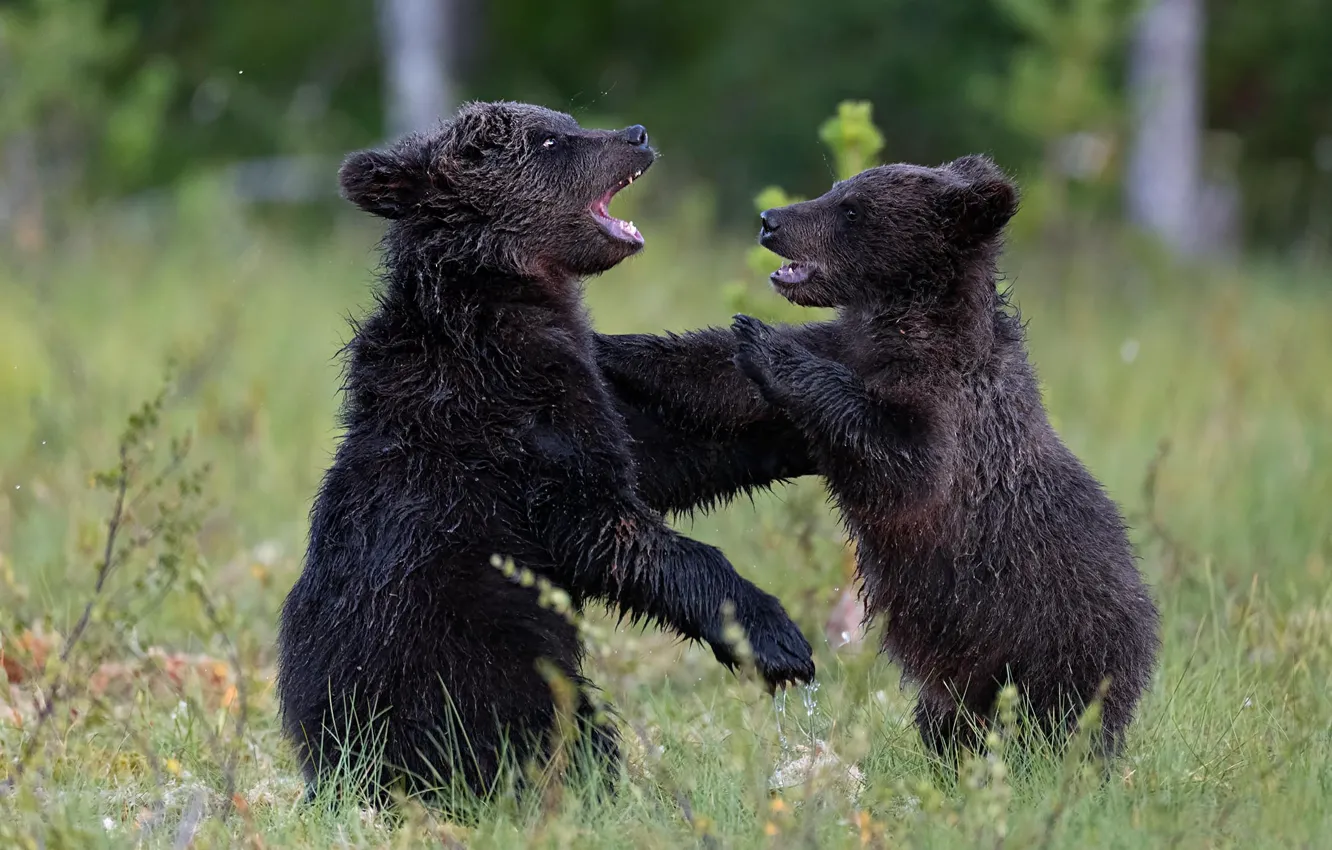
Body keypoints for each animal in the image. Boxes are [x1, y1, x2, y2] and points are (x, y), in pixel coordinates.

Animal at [275, 101, 815, 807]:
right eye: (550, 140)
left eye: (566, 120)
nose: (635, 135)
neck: (503, 296)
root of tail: (345, 777)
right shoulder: (513, 419)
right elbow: (600, 521)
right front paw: (776, 638)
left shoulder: (579, 390)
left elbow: (662, 452)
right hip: (465, 665)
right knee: (560, 727)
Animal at [598, 155, 1160, 763]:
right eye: (836, 188)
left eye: (850, 209)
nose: (771, 220)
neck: (902, 325)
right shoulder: (836, 360)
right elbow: (716, 381)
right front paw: (608, 343)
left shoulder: (949, 410)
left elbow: (902, 464)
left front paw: (766, 343)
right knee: (952, 724)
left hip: (1054, 640)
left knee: (1055, 727)